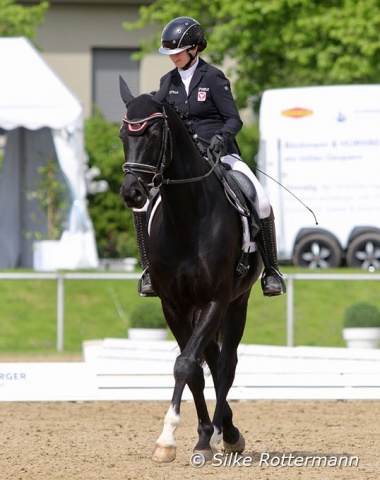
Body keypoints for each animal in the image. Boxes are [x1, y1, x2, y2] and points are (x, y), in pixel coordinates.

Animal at [119, 77, 262, 464]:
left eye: (154, 133)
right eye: (123, 134)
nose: (131, 193)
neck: (188, 217)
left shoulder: (216, 299)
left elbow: (188, 364)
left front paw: (178, 437)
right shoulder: (173, 305)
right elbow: (193, 368)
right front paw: (193, 437)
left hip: (237, 302)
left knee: (226, 364)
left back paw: (228, 435)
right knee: (211, 359)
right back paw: (221, 429)